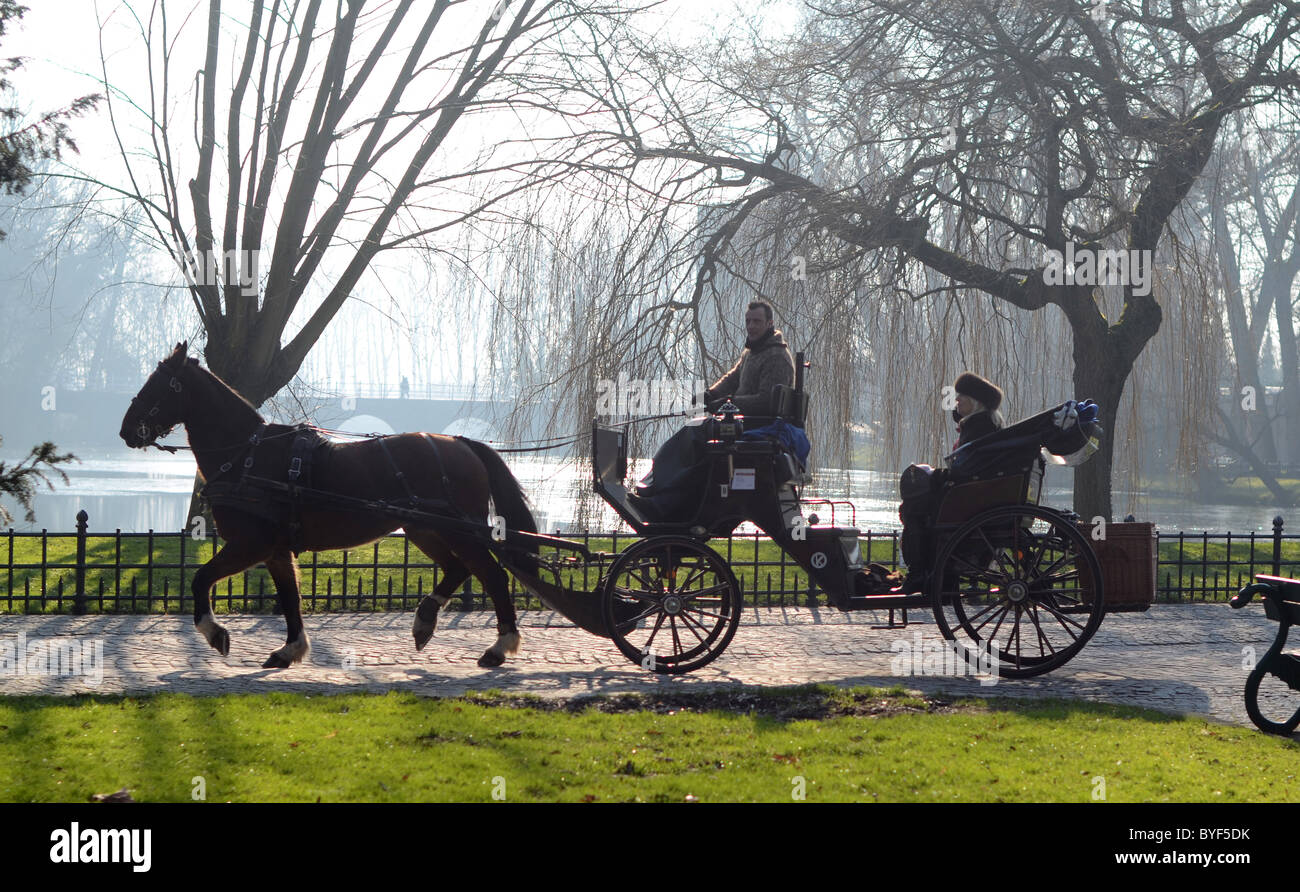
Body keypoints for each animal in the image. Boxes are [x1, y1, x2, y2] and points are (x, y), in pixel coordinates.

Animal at [120, 343, 538, 670]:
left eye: (157, 385)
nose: (125, 430)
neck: (248, 455)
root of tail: (461, 441)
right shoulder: (275, 551)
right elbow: (290, 599)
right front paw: (289, 649)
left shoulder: (249, 544)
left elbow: (201, 579)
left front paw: (215, 633)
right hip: (425, 529)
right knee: (458, 569)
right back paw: (425, 621)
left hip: (458, 531)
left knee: (493, 576)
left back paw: (499, 646)